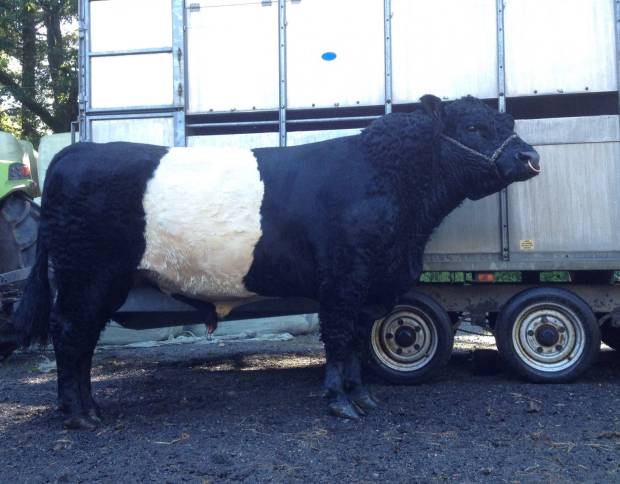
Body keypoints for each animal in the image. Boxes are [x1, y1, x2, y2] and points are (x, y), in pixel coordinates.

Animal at [12, 94, 540, 428]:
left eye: (510, 124)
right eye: (473, 127)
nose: (531, 158)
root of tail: (79, 151)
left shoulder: (371, 285)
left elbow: (354, 343)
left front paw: (363, 397)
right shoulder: (343, 278)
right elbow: (339, 338)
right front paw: (339, 403)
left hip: (102, 279)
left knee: (82, 338)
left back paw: (89, 408)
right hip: (87, 273)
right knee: (71, 334)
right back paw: (79, 415)